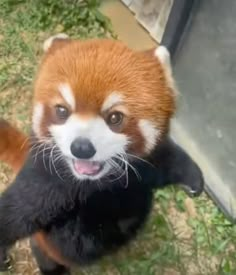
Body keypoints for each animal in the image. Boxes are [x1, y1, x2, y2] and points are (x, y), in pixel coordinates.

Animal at [0, 35, 203, 274]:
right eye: (62, 111)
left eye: (115, 117)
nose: (82, 148)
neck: (96, 184)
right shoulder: (44, 180)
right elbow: (16, 213)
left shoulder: (143, 167)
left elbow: (166, 160)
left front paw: (193, 178)